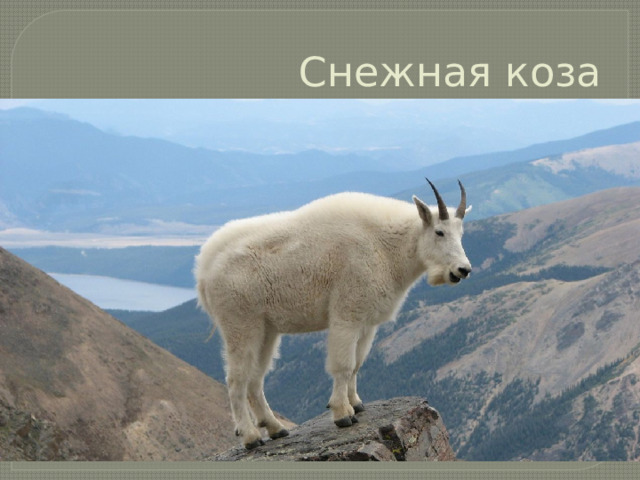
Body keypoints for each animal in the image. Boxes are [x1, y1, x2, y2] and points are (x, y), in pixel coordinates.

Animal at [195, 179, 472, 449]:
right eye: (439, 232)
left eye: (461, 234)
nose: (463, 270)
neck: (387, 246)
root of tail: (203, 269)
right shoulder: (346, 315)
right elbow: (343, 365)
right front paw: (342, 414)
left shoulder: (366, 322)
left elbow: (357, 364)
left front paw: (357, 404)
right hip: (240, 323)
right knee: (236, 380)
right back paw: (251, 436)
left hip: (266, 330)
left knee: (255, 380)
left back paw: (276, 428)